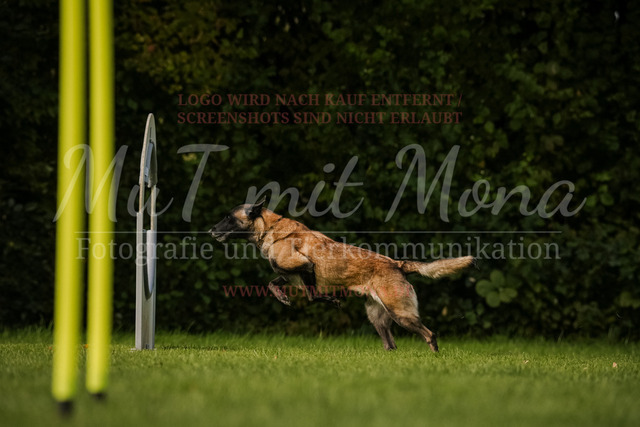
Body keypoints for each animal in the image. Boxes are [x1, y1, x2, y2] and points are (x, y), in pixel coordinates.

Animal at [210, 199, 474, 352]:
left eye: (228, 217)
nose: (211, 230)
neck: (270, 230)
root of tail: (397, 264)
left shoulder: (306, 267)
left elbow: (313, 295)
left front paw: (333, 300)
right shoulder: (290, 275)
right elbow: (273, 284)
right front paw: (283, 298)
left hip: (401, 314)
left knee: (430, 335)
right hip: (378, 319)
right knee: (391, 345)